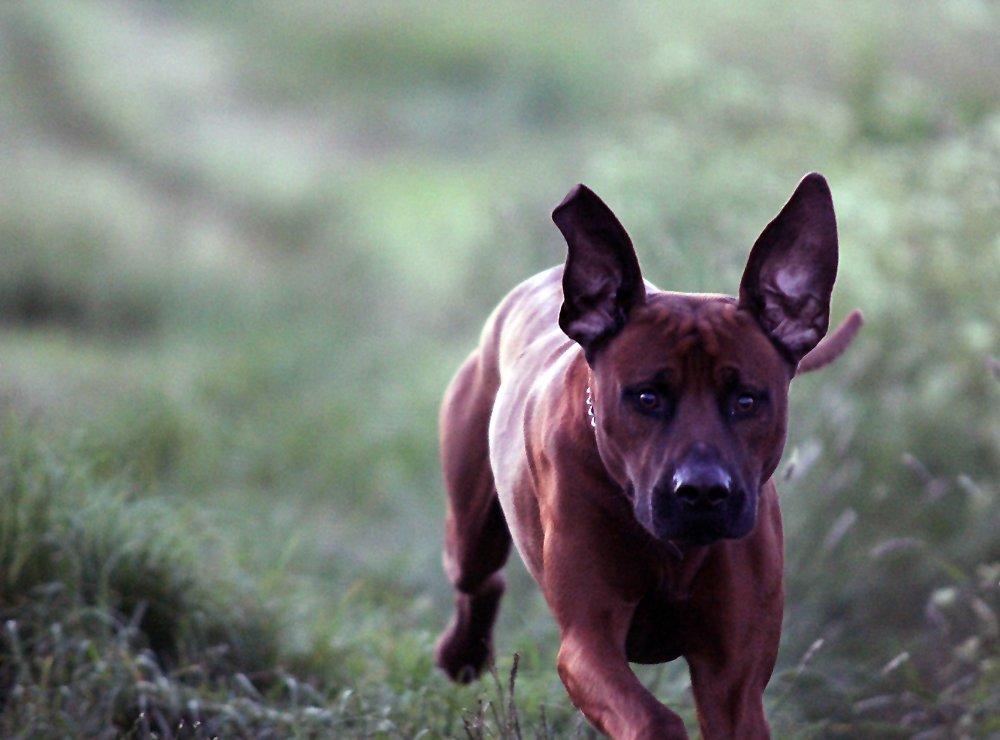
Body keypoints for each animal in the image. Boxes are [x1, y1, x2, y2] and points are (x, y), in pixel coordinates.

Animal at [436, 175, 860, 740]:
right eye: (647, 397)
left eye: (746, 400)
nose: (702, 492)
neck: (672, 549)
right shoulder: (588, 639)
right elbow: (653, 717)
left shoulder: (734, 677)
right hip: (472, 522)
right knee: (476, 574)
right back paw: (462, 652)